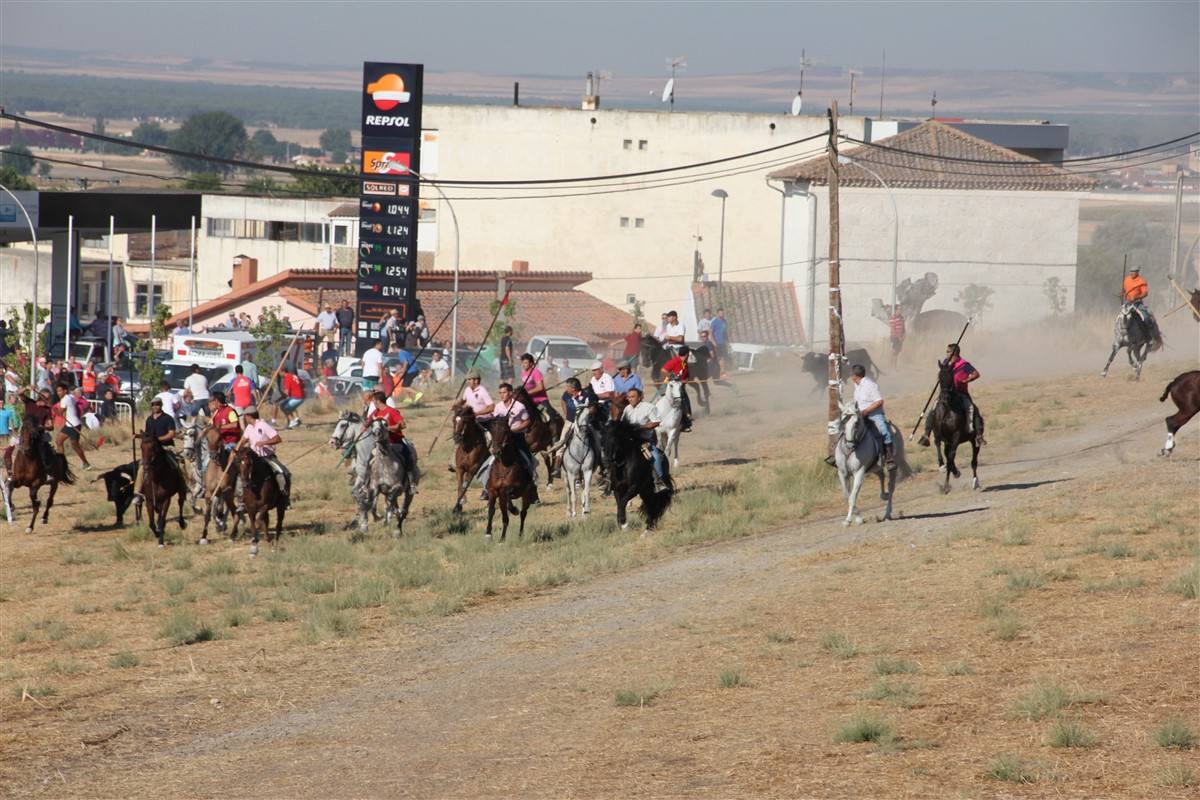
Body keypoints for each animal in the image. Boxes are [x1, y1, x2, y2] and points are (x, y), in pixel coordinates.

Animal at [921, 362, 979, 494]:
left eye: (951, 377)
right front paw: (942, 466)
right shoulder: (938, 433)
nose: (944, 398)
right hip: (948, 441)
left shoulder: (956, 435)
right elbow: (939, 446)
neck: (948, 409)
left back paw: (975, 482)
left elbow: (951, 456)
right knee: (949, 454)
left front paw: (952, 475)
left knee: (974, 460)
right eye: (939, 377)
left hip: (974, 440)